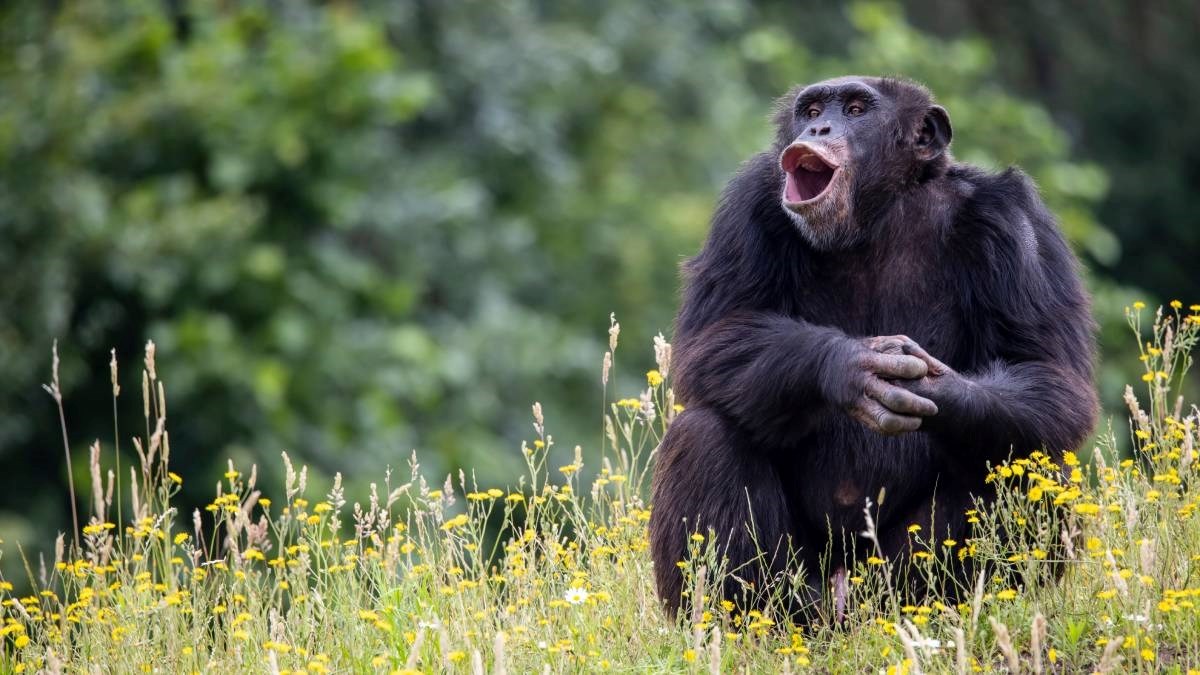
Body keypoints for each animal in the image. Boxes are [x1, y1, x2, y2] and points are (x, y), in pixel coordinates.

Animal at [648, 76, 1099, 619]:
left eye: (857, 109)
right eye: (812, 110)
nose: (820, 128)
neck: (879, 210)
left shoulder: (1015, 222)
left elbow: (1047, 371)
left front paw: (939, 389)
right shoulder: (748, 204)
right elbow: (714, 335)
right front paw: (851, 366)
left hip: (886, 584)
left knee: (1027, 460)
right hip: (804, 588)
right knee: (704, 432)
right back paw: (744, 622)